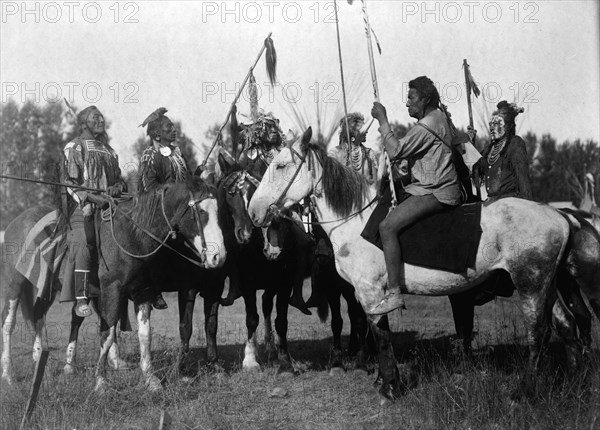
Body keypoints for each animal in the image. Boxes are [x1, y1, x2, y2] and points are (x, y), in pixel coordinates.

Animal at [248, 127, 572, 400]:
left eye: (280, 165)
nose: (254, 211)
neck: (355, 218)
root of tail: (561, 217)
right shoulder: (368, 295)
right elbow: (375, 330)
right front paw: (382, 379)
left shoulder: (370, 292)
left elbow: (380, 334)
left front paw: (390, 387)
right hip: (549, 288)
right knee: (566, 326)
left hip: (530, 285)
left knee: (538, 333)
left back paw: (525, 391)